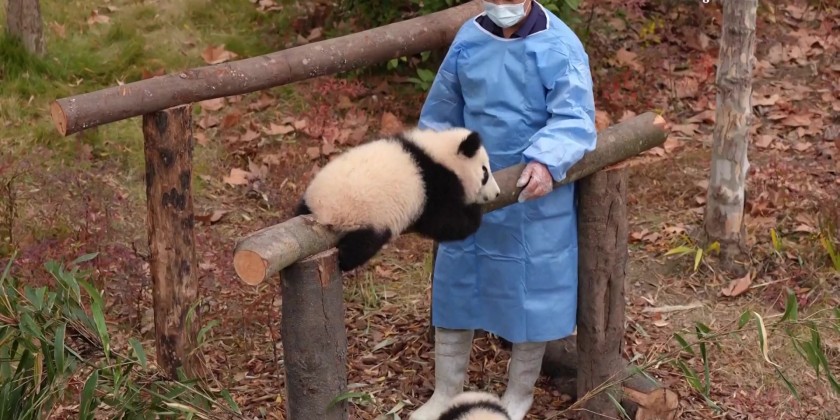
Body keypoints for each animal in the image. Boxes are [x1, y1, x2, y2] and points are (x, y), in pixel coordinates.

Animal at [295, 126, 501, 272]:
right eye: (485, 173)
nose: (497, 193)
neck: (440, 153)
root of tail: (322, 213)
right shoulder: (434, 186)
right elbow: (444, 223)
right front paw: (474, 214)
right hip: (367, 219)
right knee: (360, 247)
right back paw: (345, 260)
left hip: (308, 201)